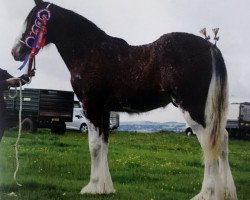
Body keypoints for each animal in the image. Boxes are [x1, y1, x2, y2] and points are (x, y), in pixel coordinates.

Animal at [11, 0, 237, 199]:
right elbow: (104, 145)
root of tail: (210, 47)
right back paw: (226, 192)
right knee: (223, 139)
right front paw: (104, 188)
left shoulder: (90, 107)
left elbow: (94, 145)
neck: (90, 52)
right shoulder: (104, 111)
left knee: (209, 143)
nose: (16, 52)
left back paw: (206, 194)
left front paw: (91, 187)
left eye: (33, 22)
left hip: (192, 108)